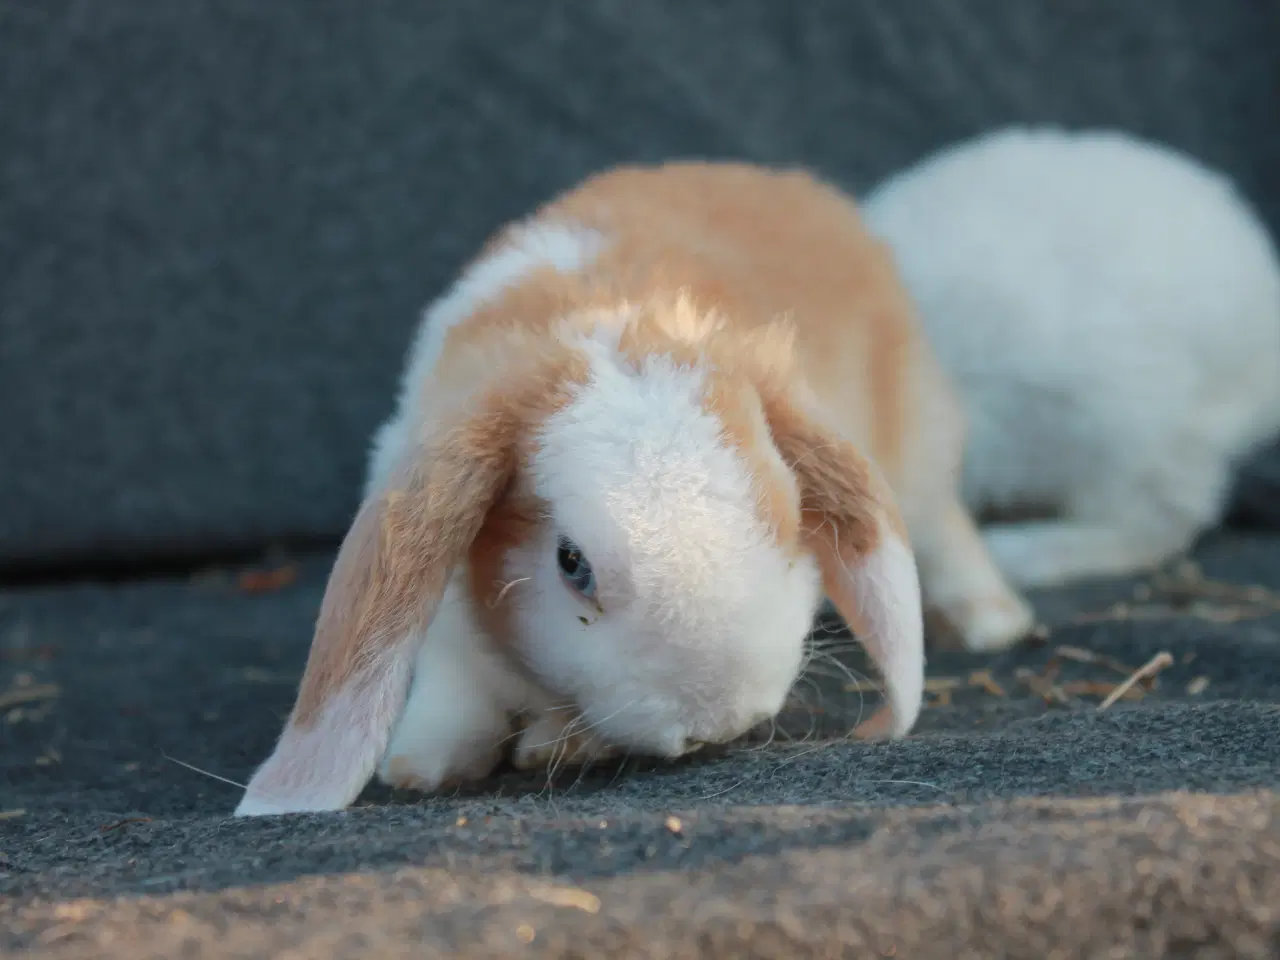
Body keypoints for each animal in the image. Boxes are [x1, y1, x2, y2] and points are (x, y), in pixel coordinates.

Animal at [235, 160, 1034, 819]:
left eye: (789, 520)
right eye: (571, 564)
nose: (717, 720)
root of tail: (794, 186)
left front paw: (553, 746)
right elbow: (450, 673)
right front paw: (424, 764)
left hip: (919, 450)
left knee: (945, 530)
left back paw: (993, 623)